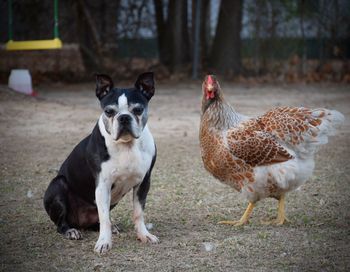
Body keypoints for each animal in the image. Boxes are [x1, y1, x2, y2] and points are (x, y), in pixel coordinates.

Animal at [43, 71, 159, 253]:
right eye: (109, 111)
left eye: (138, 109)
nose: (124, 118)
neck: (126, 145)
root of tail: (79, 222)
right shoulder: (103, 185)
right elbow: (105, 217)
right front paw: (104, 242)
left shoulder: (143, 183)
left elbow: (138, 212)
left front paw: (144, 235)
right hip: (58, 185)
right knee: (61, 223)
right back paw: (70, 231)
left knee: (95, 222)